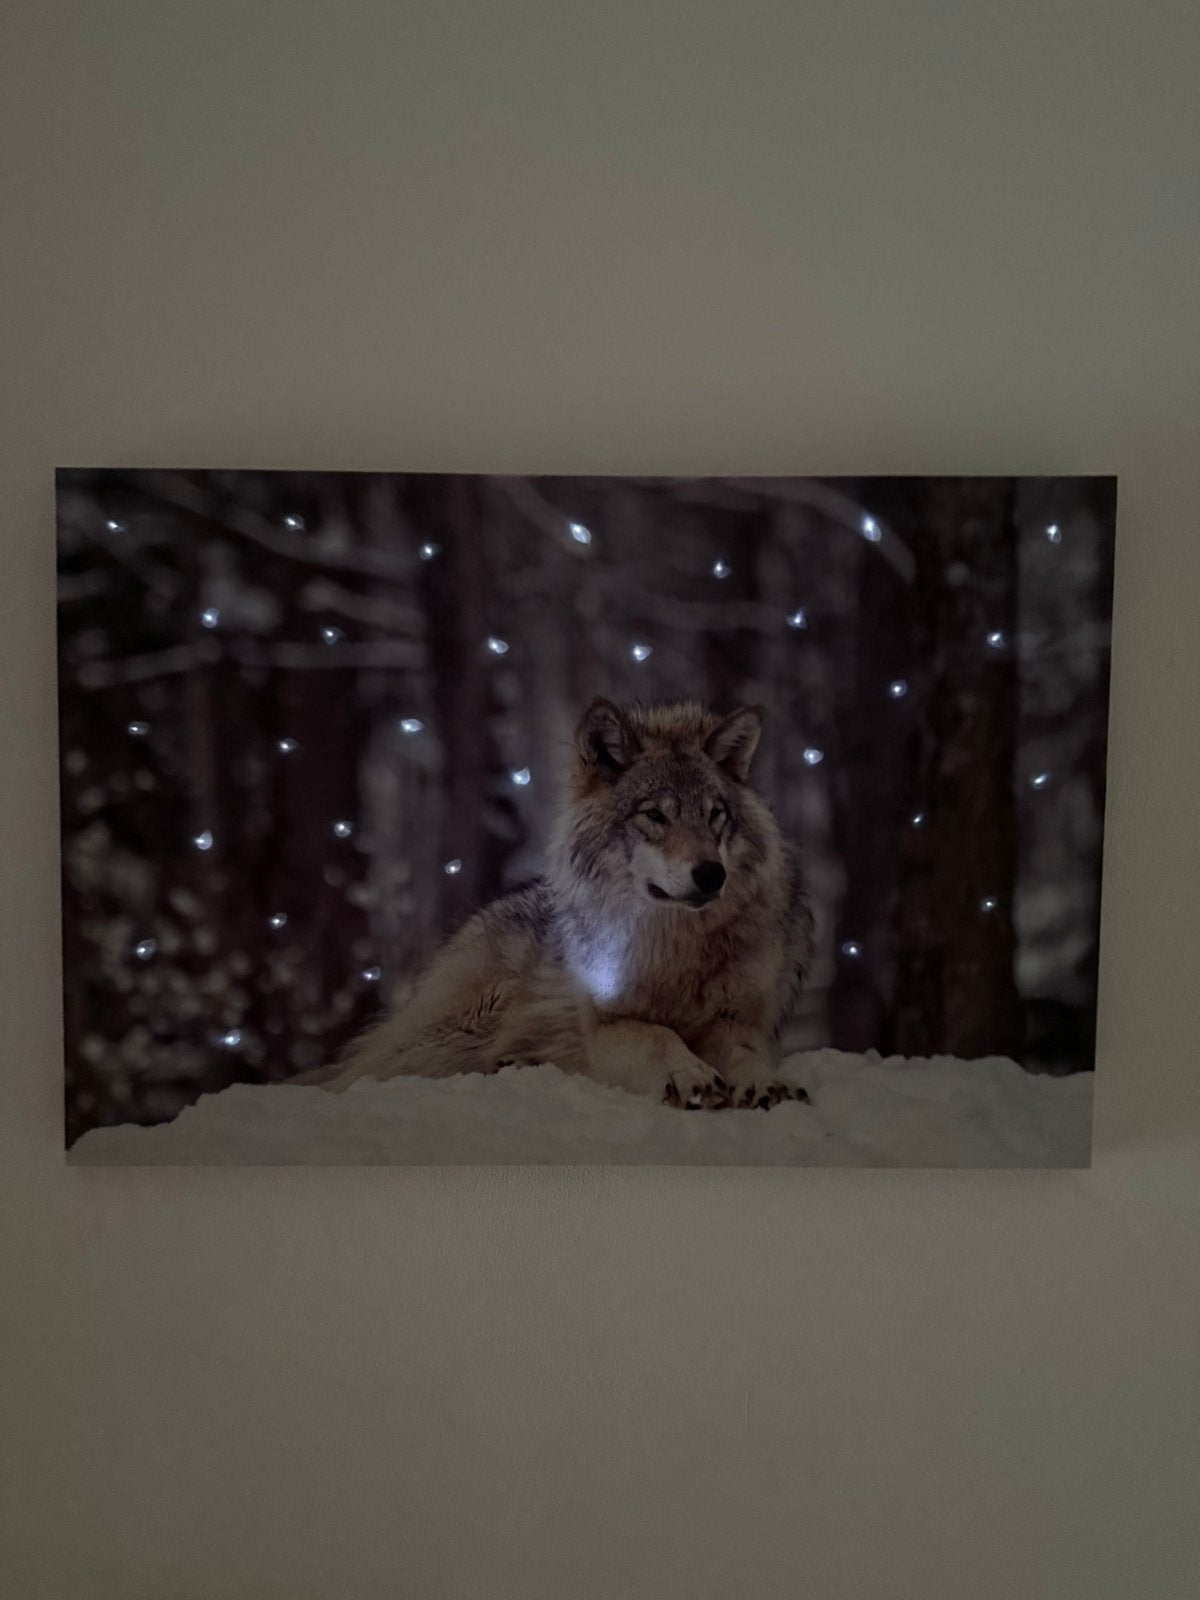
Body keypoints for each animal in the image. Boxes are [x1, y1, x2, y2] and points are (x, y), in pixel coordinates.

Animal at [316, 699, 813, 1109]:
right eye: (654, 814)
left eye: (715, 815)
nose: (712, 874)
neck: (675, 948)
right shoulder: (606, 1024)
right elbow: (655, 1035)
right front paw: (686, 1072)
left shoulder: (739, 1021)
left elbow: (744, 1054)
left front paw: (766, 1083)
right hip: (456, 1031)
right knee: (362, 1071)